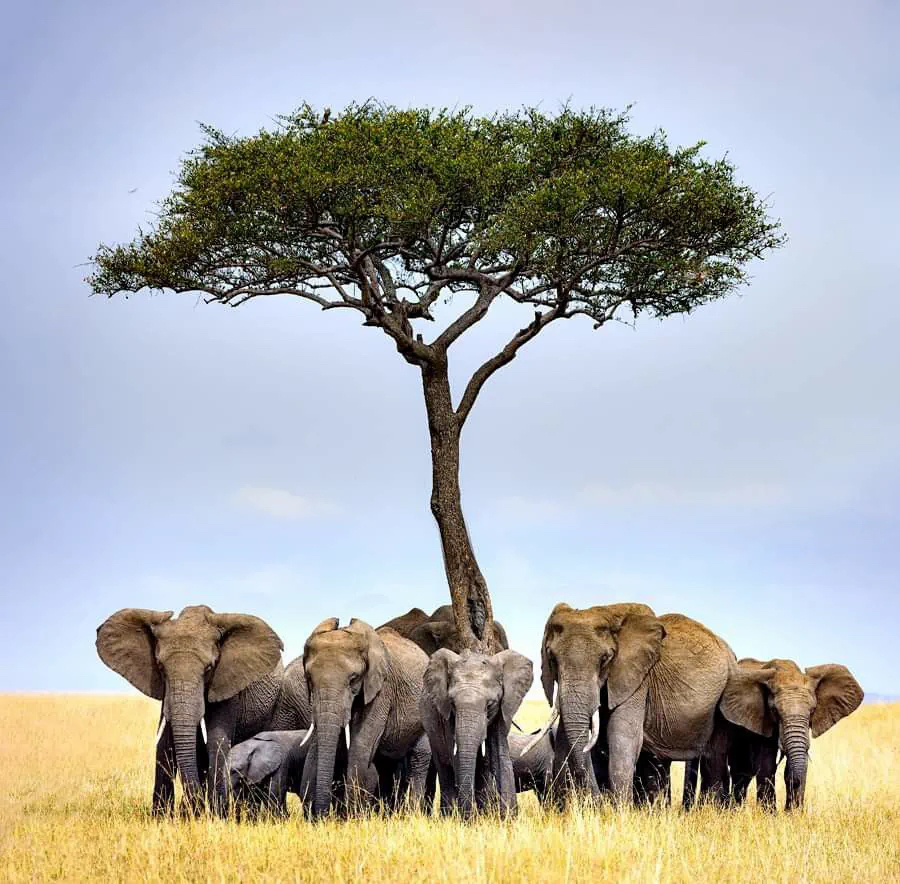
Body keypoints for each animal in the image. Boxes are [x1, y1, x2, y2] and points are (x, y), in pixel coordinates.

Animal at [95, 605, 310, 815]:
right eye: (160, 667)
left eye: (209, 668)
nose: (195, 808)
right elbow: (165, 744)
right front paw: (163, 818)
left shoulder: (226, 682)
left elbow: (217, 740)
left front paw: (216, 816)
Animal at [300, 618, 432, 817]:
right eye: (309, 678)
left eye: (353, 678)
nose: (323, 815)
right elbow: (317, 745)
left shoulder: (382, 689)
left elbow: (360, 745)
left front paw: (352, 817)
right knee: (386, 765)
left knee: (419, 757)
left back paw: (411, 814)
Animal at [420, 647, 533, 817]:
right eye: (452, 704)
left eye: (490, 704)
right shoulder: (447, 716)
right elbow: (457, 758)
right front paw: (469, 820)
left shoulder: (503, 708)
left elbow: (500, 755)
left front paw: (507, 818)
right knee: (445, 770)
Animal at [532, 603, 736, 806]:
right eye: (552, 659)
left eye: (605, 659)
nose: (600, 801)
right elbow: (565, 741)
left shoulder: (637, 680)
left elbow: (622, 737)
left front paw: (620, 809)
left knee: (713, 759)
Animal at [709, 657, 863, 811]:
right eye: (775, 711)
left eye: (813, 710)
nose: (789, 808)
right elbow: (767, 762)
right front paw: (770, 814)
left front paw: (794, 813)